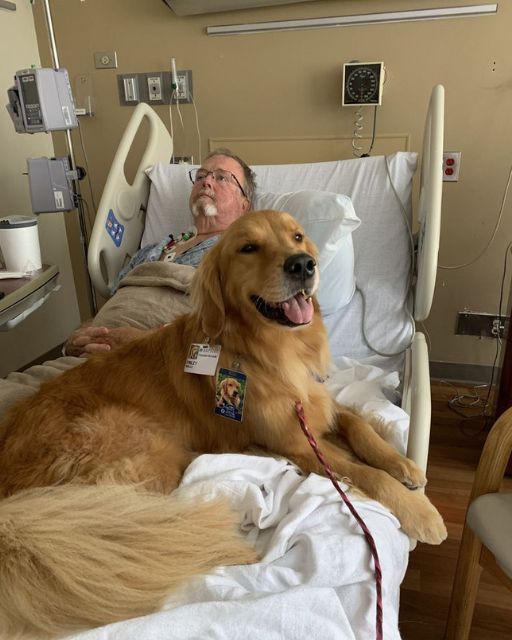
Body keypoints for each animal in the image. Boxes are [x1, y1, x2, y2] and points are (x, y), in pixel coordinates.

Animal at [0, 210, 447, 638]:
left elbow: (359, 426)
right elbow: (364, 472)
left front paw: (404, 465)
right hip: (146, 454)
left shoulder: (318, 404)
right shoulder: (296, 444)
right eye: (248, 247)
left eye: (297, 236)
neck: (271, 350)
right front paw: (419, 511)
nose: (303, 264)